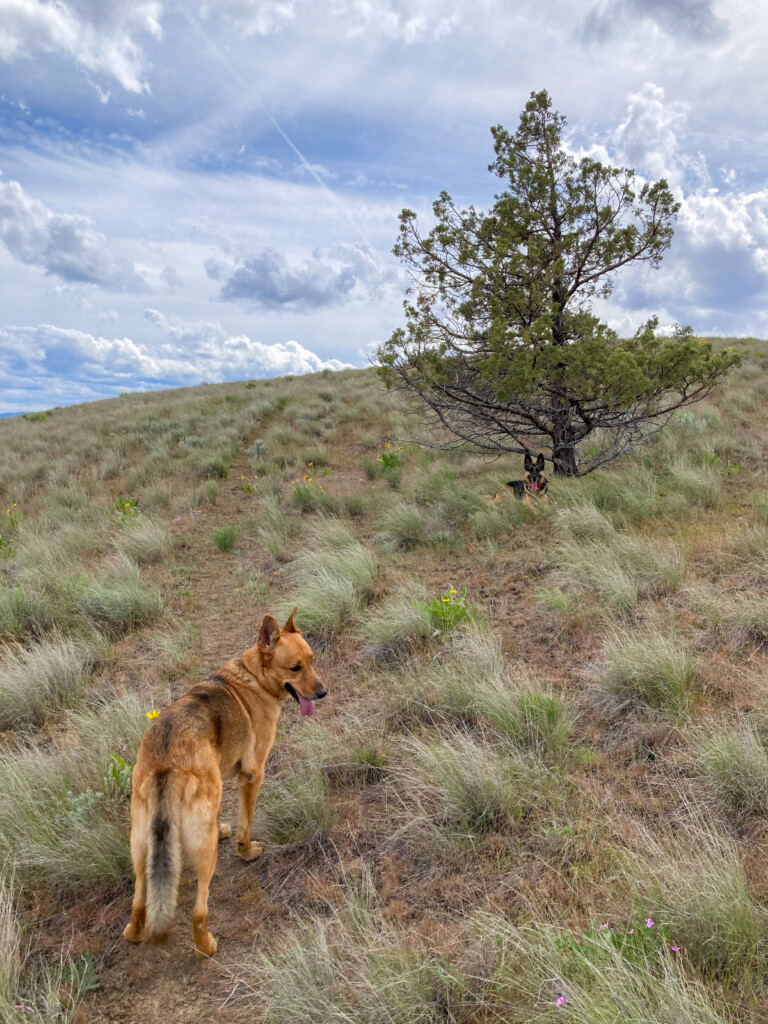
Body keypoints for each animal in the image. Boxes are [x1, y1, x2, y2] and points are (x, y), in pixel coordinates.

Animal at [122, 606, 325, 950]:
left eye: (312, 660)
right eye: (295, 668)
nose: (323, 692)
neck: (254, 677)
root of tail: (167, 763)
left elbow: (219, 818)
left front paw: (223, 831)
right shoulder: (252, 775)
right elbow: (246, 824)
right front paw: (246, 851)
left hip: (141, 847)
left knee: (139, 905)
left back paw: (135, 934)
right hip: (204, 857)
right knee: (198, 911)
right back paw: (206, 947)